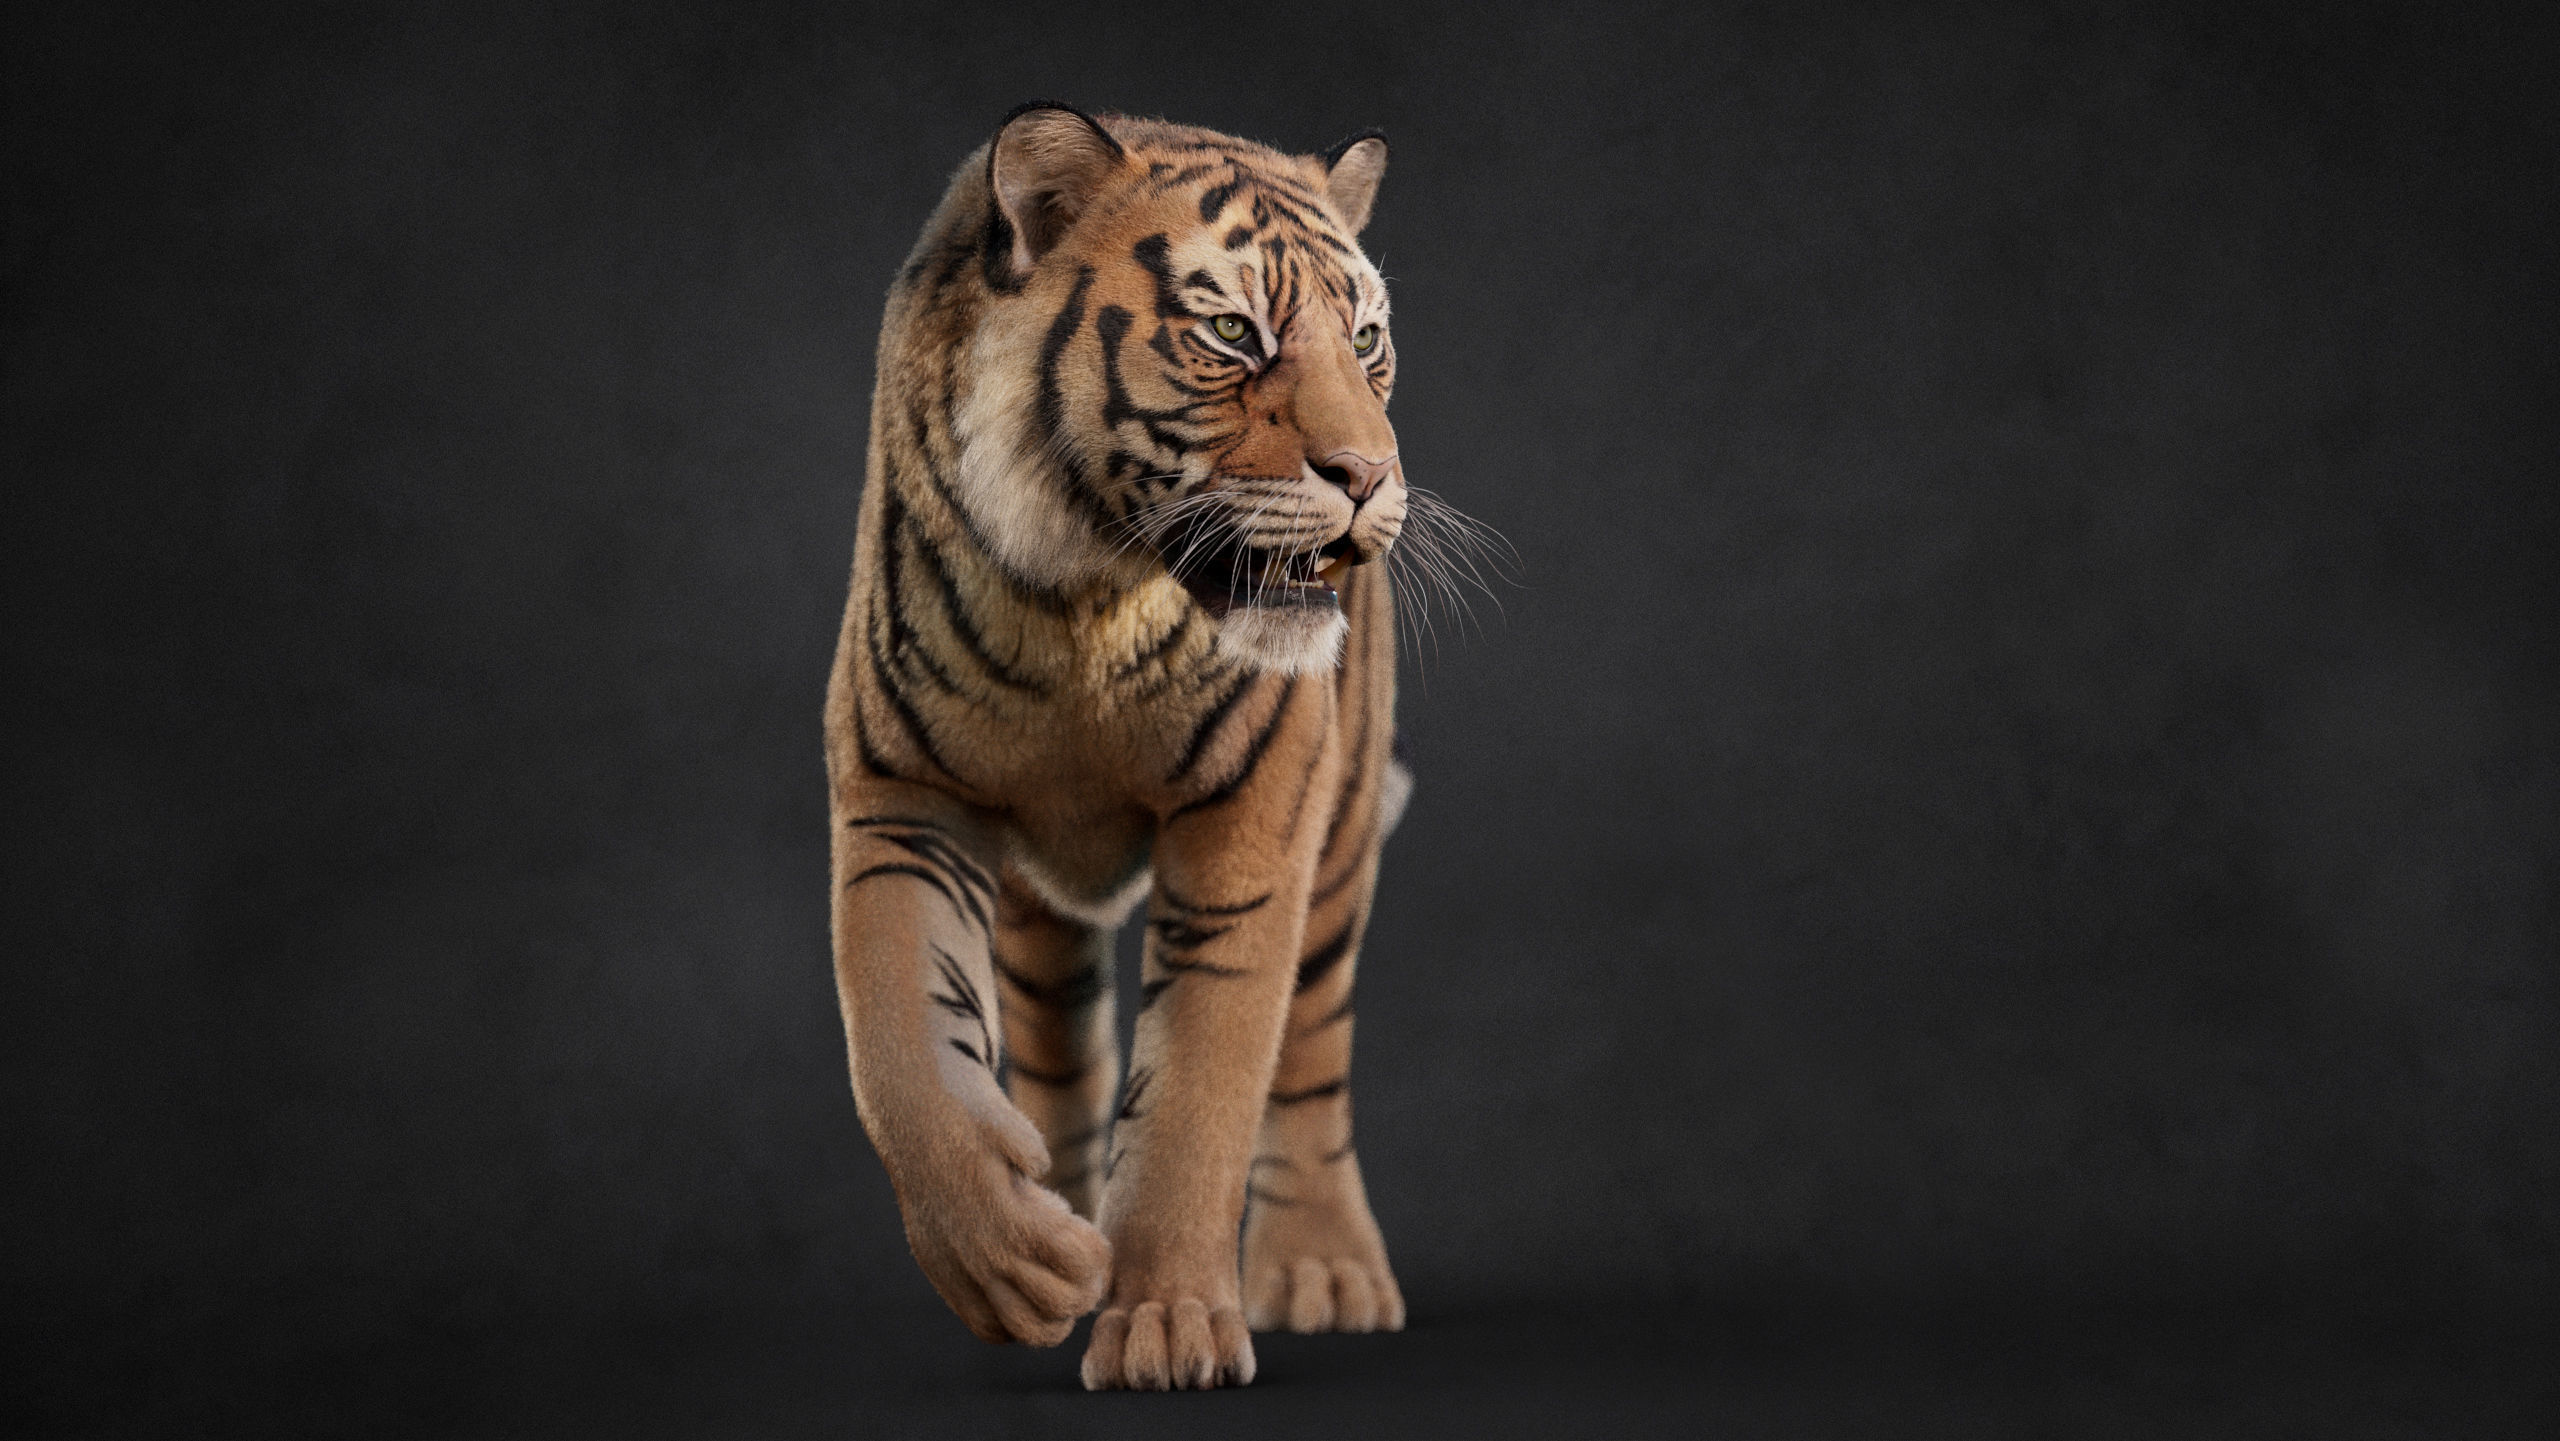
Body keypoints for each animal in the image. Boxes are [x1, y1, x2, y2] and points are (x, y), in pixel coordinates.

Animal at [823, 103, 1425, 1392]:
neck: (1086, 594)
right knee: (1054, 1044)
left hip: (1340, 837)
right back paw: (1061, 1212)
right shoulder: (902, 795)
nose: (1371, 476)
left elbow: (1201, 1086)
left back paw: (1326, 1269)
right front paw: (1011, 1260)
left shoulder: (1251, 825)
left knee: (1310, 1052)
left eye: (1364, 340)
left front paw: (1169, 1324)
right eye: (1232, 332)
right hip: (1034, 906)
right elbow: (899, 1048)